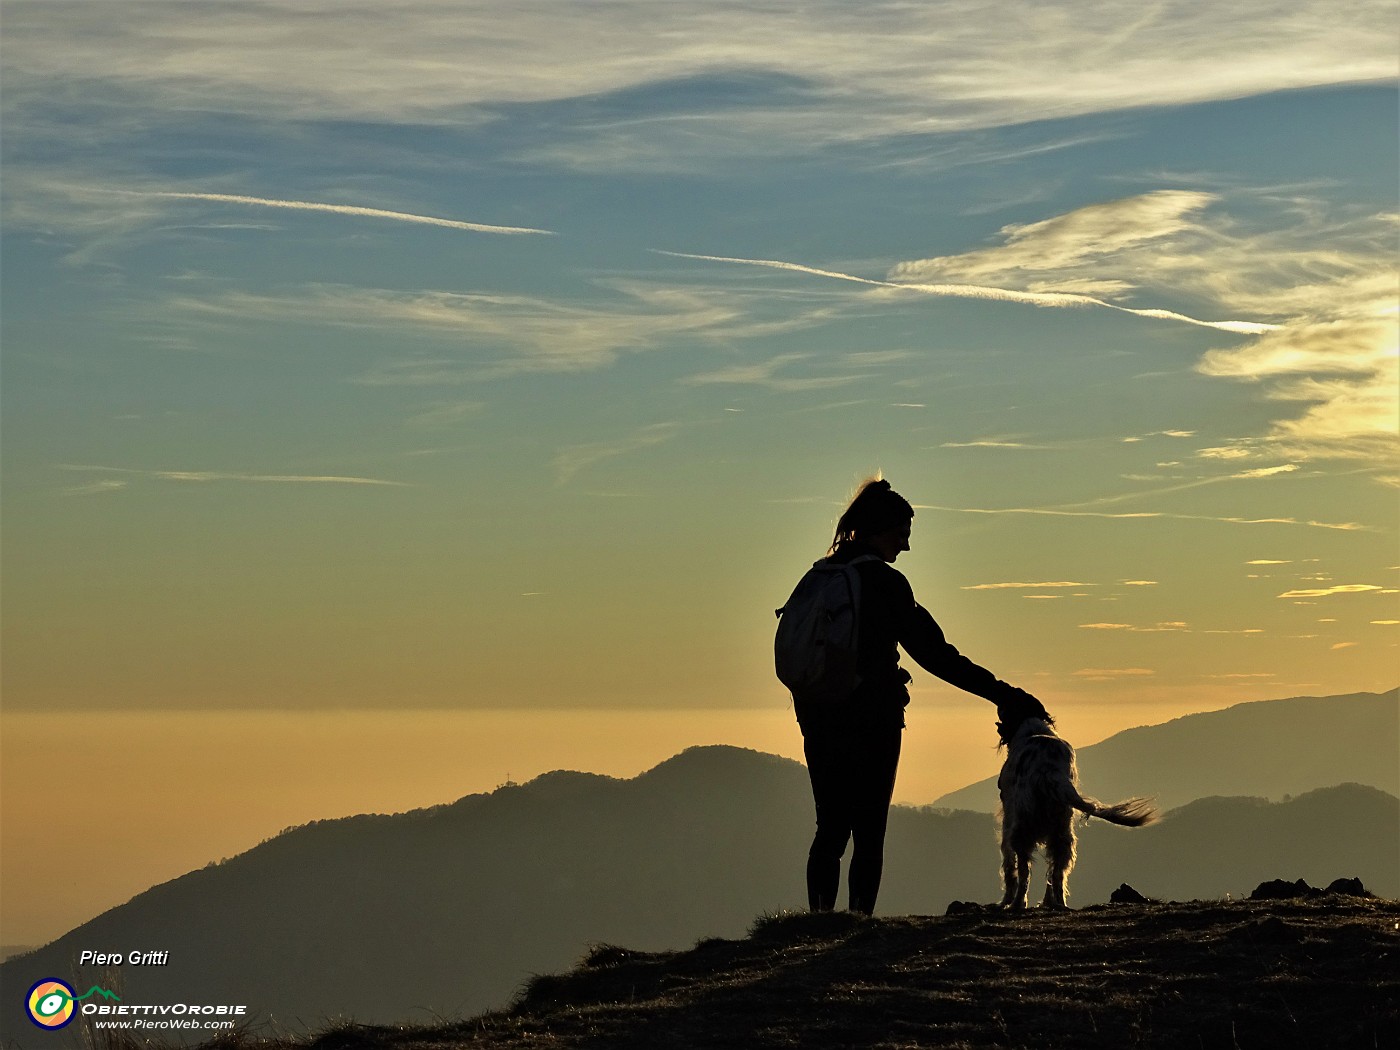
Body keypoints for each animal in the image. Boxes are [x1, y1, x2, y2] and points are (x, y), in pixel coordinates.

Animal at [996, 711, 1159, 907]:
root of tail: (1048, 771)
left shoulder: (1008, 819)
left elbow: (1010, 866)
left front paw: (1005, 900)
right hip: (1062, 832)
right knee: (1057, 872)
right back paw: (1057, 903)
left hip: (1022, 828)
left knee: (1025, 870)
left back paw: (1017, 903)